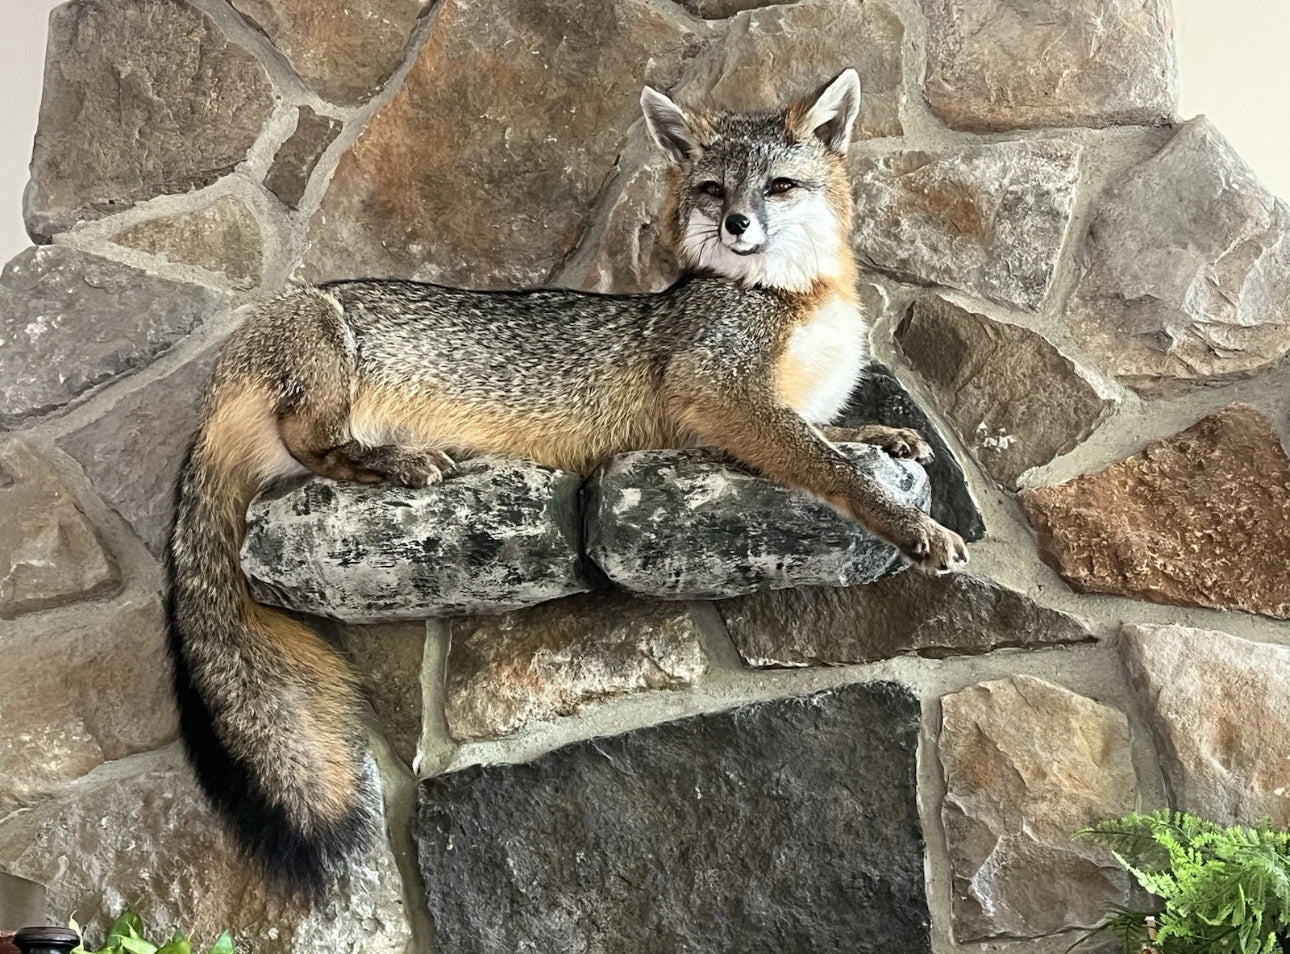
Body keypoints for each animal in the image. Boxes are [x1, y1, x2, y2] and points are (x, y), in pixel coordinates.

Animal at [166, 68, 969, 898]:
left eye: (779, 185)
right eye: (714, 190)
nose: (738, 225)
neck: (798, 297)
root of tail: (220, 377)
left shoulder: (770, 413)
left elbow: (829, 437)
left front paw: (883, 433)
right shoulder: (718, 397)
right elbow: (828, 467)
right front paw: (912, 525)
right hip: (325, 337)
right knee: (311, 440)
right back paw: (396, 460)